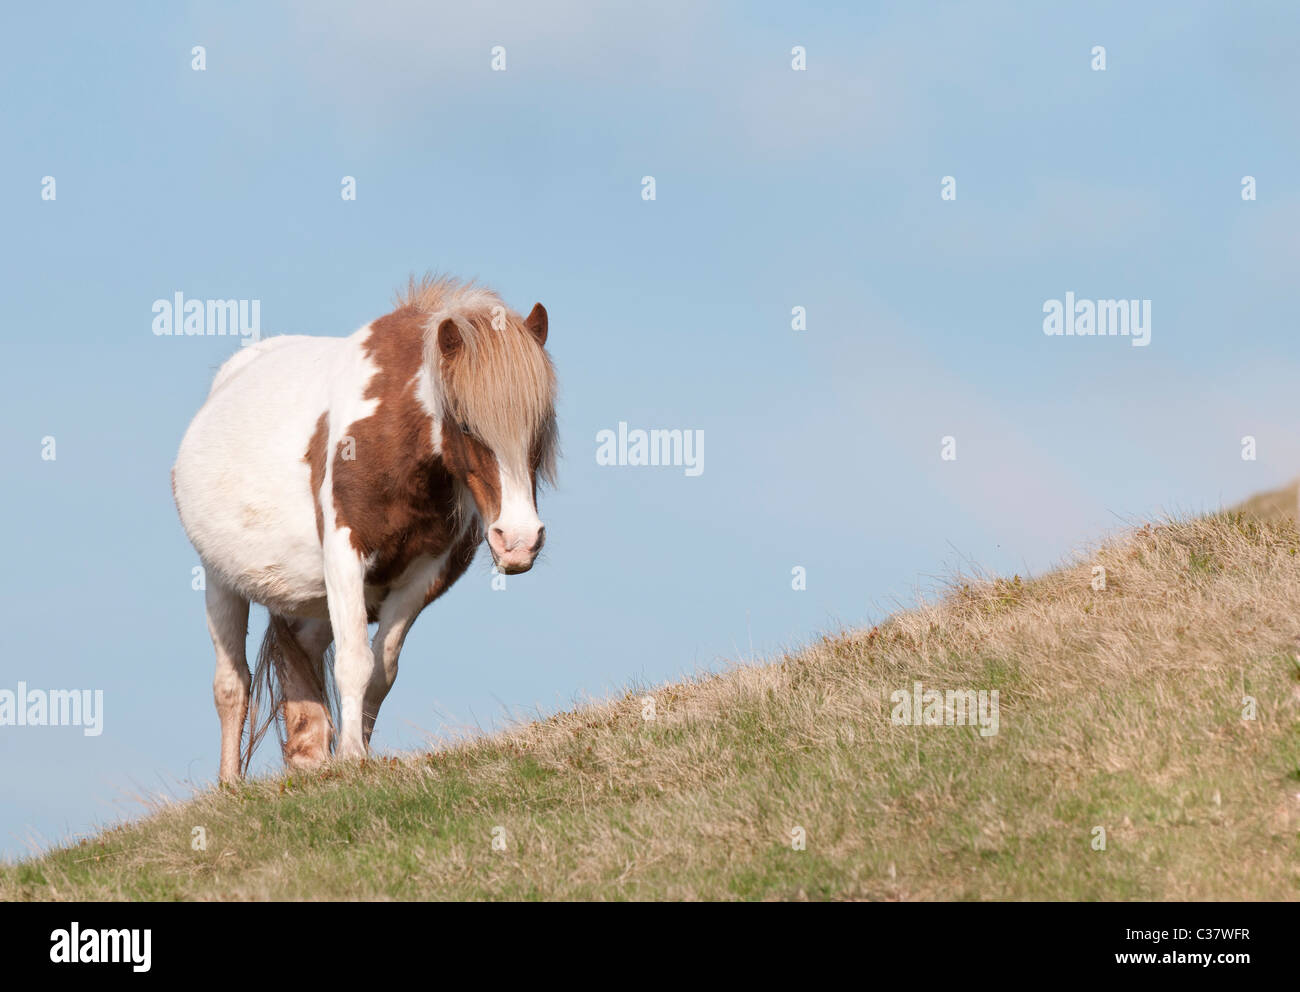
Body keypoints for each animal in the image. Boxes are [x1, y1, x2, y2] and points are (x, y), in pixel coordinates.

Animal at [171, 276, 558, 782]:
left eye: (540, 425)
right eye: (465, 423)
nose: (518, 541)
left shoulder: (421, 579)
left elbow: (380, 671)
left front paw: (353, 754)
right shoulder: (344, 556)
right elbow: (354, 662)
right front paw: (352, 755)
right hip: (220, 579)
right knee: (232, 685)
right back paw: (230, 783)